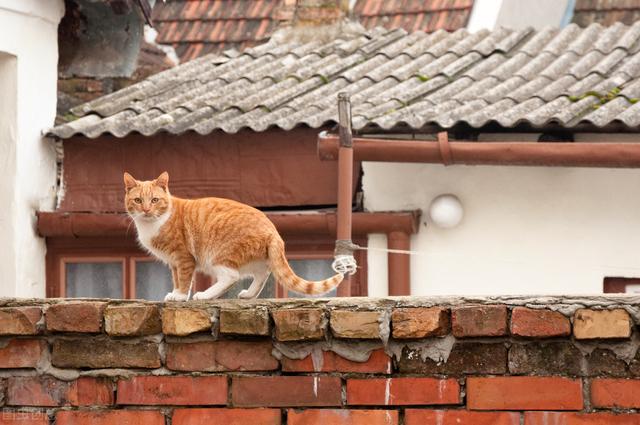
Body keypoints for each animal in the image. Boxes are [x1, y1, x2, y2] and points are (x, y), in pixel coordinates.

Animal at [124, 171, 344, 300]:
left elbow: (185, 280)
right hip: (254, 259)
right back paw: (249, 294)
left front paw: (180, 296)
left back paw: (205, 295)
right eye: (137, 200)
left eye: (154, 200)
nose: (146, 209)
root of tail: (273, 230)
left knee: (231, 276)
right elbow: (177, 279)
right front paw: (176, 293)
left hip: (218, 255)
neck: (153, 223)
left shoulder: (183, 257)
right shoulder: (173, 262)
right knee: (263, 274)